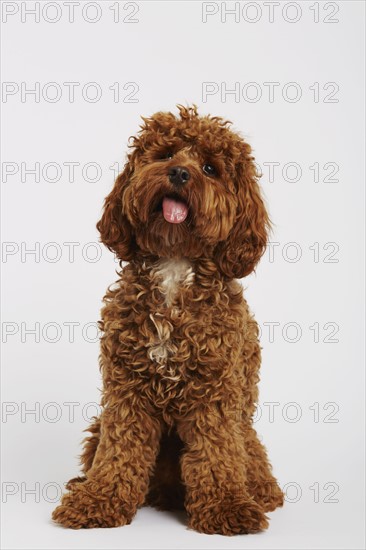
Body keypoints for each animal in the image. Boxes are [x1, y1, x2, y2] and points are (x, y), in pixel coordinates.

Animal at [51, 103, 284, 536]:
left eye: (210, 168)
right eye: (165, 154)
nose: (179, 173)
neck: (176, 265)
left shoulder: (216, 395)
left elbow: (217, 454)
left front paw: (226, 506)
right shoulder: (126, 391)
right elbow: (119, 451)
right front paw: (99, 500)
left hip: (246, 431)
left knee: (249, 456)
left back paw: (260, 492)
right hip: (98, 425)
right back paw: (87, 484)